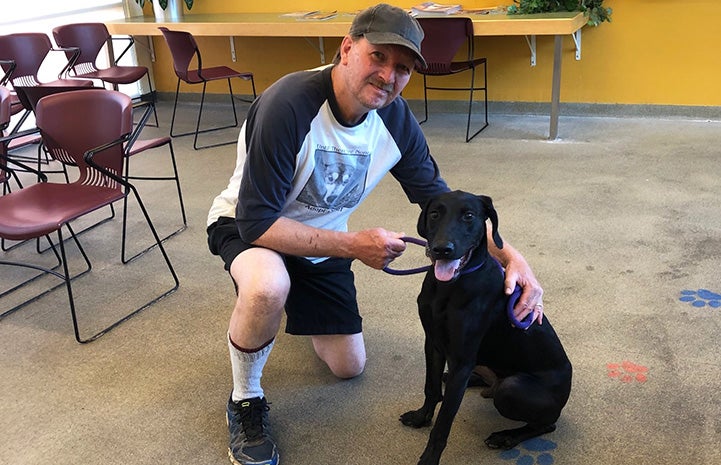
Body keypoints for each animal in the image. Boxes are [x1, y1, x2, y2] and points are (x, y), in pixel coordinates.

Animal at [400, 190, 568, 464]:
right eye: (435, 214)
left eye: (469, 216)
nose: (442, 249)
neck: (448, 287)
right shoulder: (433, 343)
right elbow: (431, 388)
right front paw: (421, 417)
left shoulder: (461, 360)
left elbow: (443, 424)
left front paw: (428, 458)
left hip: (511, 389)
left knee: (546, 424)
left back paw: (506, 437)